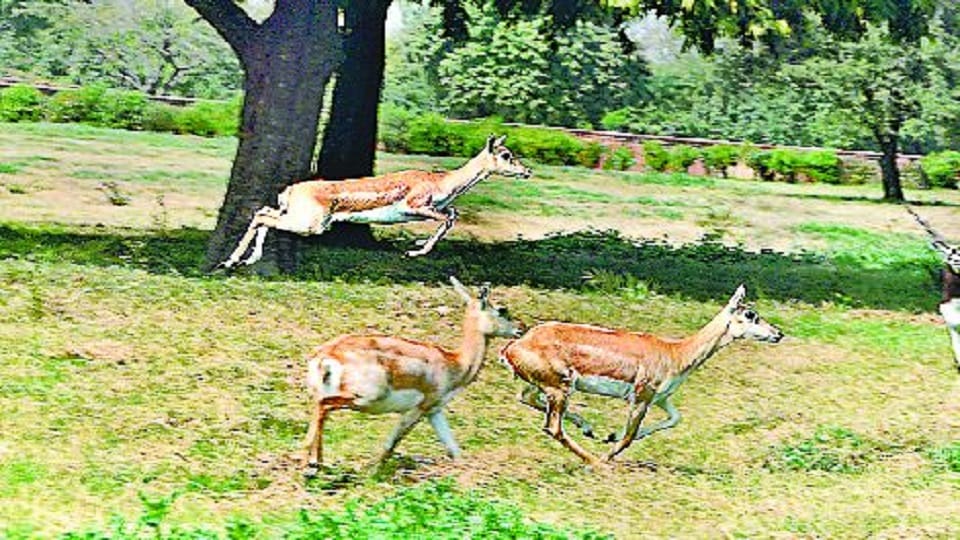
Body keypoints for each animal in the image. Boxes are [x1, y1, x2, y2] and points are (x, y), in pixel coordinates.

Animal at [219, 135, 532, 269]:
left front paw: (416, 244)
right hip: (310, 225)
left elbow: (452, 215)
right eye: (506, 155)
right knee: (261, 215)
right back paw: (230, 260)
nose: (527, 171)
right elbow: (448, 218)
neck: (443, 182)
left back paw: (247, 259)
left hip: (295, 217)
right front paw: (414, 251)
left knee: (263, 211)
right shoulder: (417, 206)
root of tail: (291, 190)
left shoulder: (432, 210)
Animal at [302, 277, 524, 475]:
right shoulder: (419, 408)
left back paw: (316, 463)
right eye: (502, 310)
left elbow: (453, 448)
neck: (455, 363)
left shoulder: (435, 410)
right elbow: (392, 442)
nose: (521, 329)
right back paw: (309, 464)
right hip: (364, 398)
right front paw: (371, 473)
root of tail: (327, 356)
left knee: (320, 409)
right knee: (324, 406)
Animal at [499, 284, 783, 466]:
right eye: (750, 314)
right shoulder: (641, 396)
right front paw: (607, 454)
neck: (675, 353)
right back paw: (594, 461)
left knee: (525, 398)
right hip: (560, 388)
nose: (779, 333)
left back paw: (589, 430)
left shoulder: (661, 399)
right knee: (553, 427)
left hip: (548, 387)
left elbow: (675, 419)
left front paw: (609, 436)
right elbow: (629, 436)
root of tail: (513, 347)